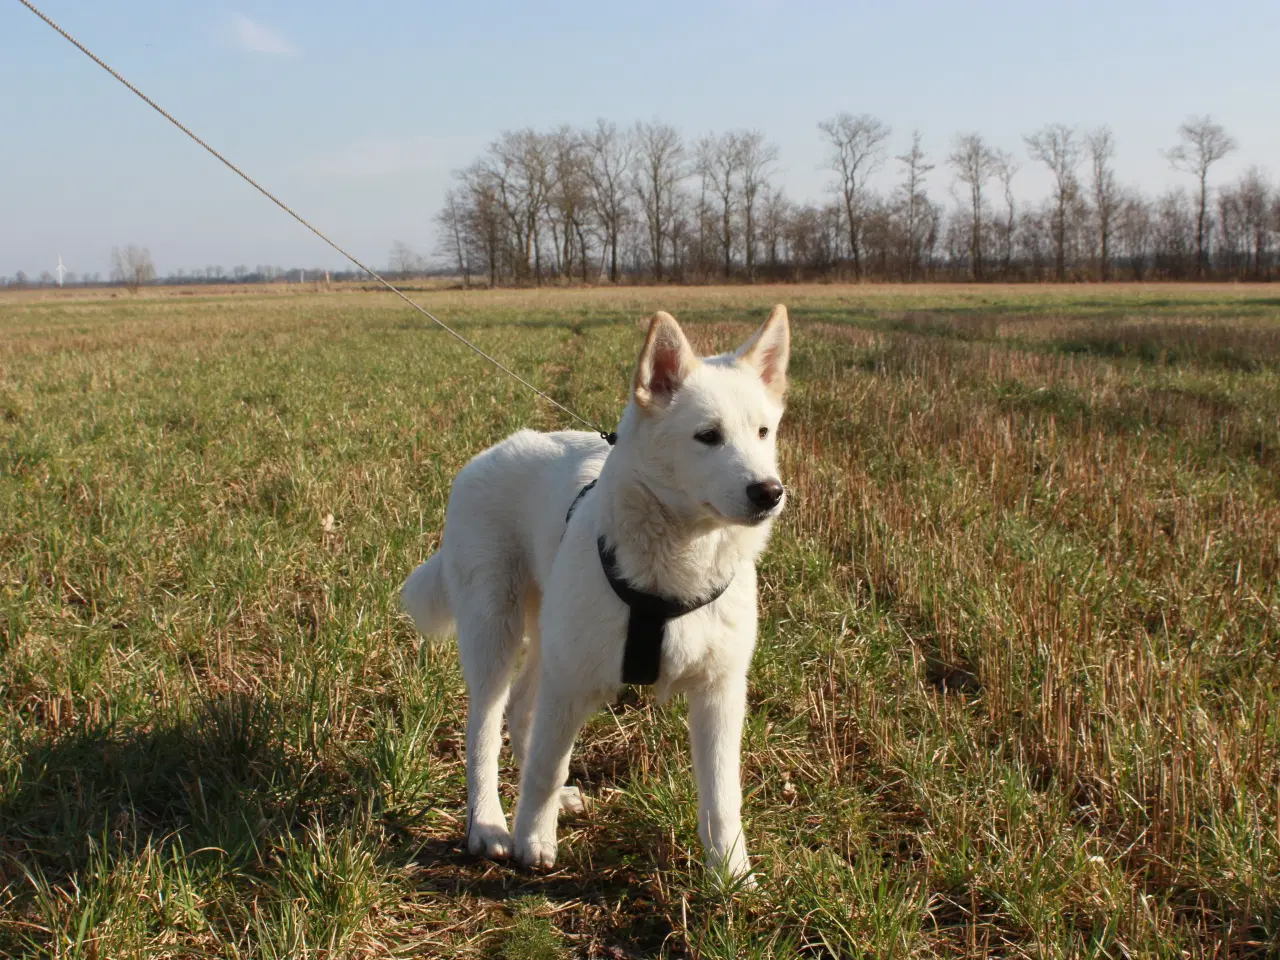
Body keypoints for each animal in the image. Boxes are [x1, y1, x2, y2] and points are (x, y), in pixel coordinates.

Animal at [401, 304, 788, 885]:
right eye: (708, 436)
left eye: (763, 432)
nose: (769, 492)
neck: (677, 566)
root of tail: (490, 453)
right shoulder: (571, 680)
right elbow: (547, 763)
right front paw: (533, 841)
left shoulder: (719, 691)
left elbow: (723, 795)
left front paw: (731, 872)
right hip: (496, 633)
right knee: (485, 729)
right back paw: (490, 825)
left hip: (549, 637)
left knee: (522, 709)